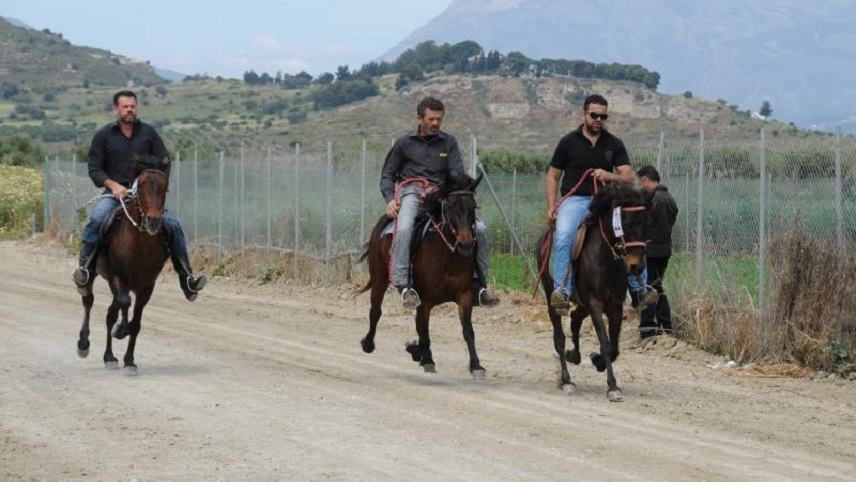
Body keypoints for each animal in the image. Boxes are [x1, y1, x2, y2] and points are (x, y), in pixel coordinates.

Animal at [76, 153, 171, 372]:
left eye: (165, 186)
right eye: (142, 184)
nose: (153, 220)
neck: (140, 244)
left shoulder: (147, 286)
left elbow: (135, 322)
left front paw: (129, 360)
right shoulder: (119, 277)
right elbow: (125, 303)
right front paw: (121, 330)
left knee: (111, 313)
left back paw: (110, 356)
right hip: (94, 274)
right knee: (89, 301)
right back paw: (84, 344)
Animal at [356, 175, 488, 378]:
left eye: (473, 206)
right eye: (450, 206)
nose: (466, 244)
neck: (448, 255)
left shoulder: (464, 295)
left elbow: (468, 331)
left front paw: (476, 366)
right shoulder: (425, 300)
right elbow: (424, 329)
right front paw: (428, 360)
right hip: (379, 278)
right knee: (376, 311)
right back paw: (368, 344)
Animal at [536, 183, 648, 402]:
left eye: (646, 221)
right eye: (625, 222)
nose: (636, 266)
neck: (606, 257)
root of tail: (546, 236)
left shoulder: (615, 306)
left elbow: (614, 347)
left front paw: (598, 361)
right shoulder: (595, 303)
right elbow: (605, 342)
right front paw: (612, 386)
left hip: (583, 303)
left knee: (575, 318)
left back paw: (574, 355)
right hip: (553, 296)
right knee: (559, 337)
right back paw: (566, 380)